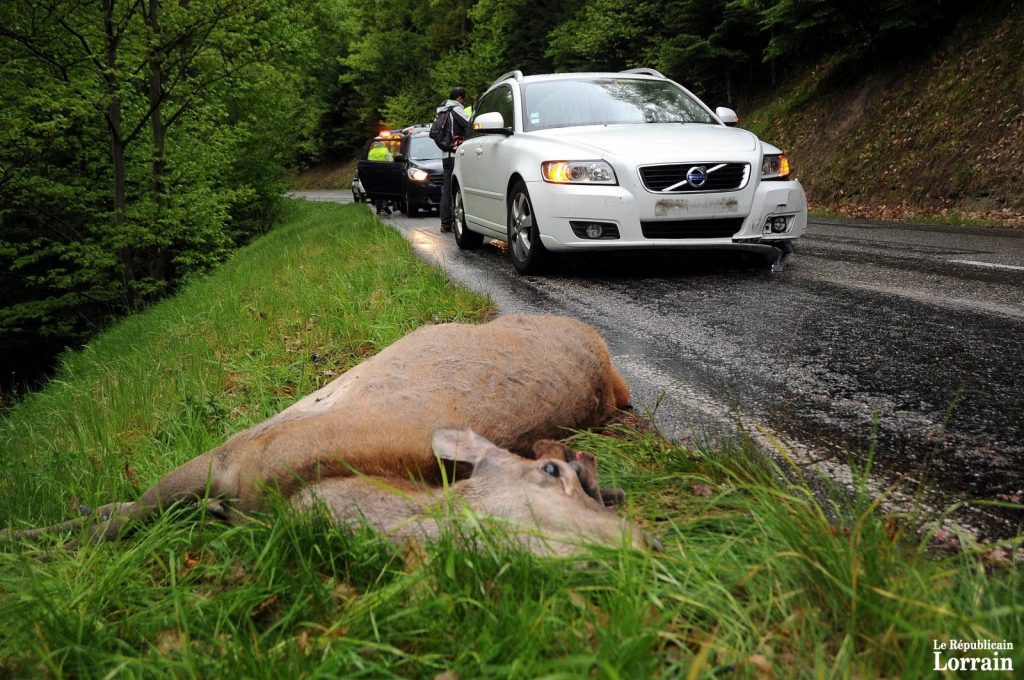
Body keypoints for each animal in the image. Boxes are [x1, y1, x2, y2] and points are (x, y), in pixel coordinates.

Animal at [4, 313, 643, 553]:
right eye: (551, 472)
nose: (642, 544)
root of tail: (611, 378)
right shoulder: (233, 453)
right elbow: (121, 516)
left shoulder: (233, 458)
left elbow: (117, 518)